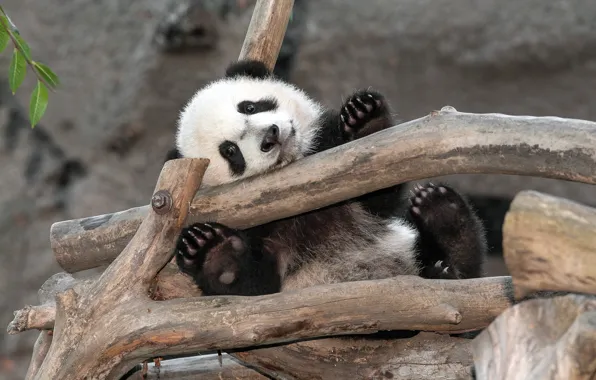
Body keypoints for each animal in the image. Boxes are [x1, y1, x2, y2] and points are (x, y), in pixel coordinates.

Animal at [165, 60, 486, 296]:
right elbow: (255, 284)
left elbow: (377, 193)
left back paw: (444, 217)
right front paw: (212, 250)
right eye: (230, 151)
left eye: (249, 106)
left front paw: (365, 123)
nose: (271, 136)